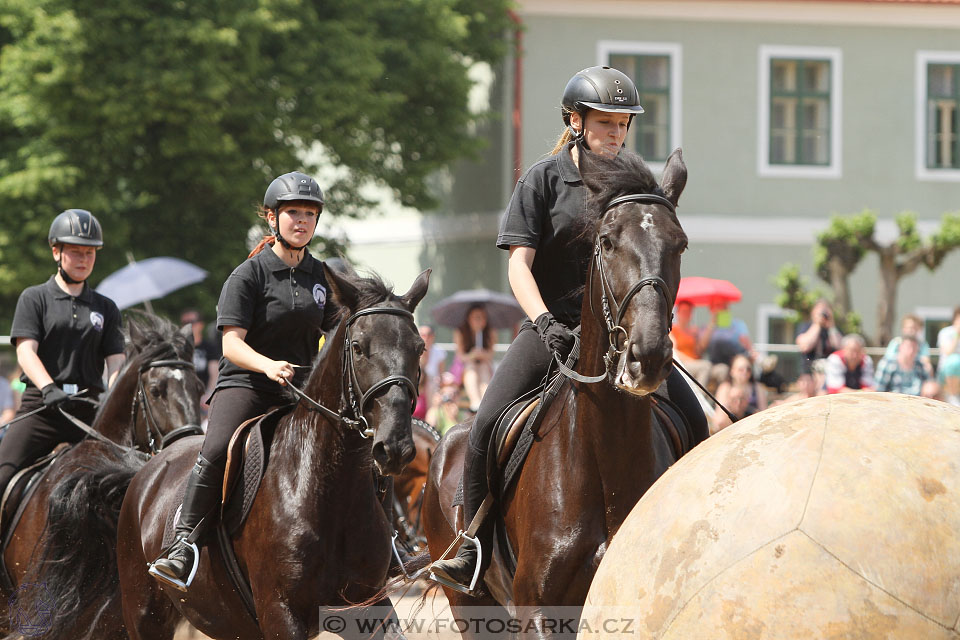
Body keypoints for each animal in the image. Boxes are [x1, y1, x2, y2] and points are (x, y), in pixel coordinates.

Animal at [114, 266, 430, 640]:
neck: (326, 487)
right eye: (358, 347)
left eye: (419, 348)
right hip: (143, 613)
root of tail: (149, 469)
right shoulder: (280, 612)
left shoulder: (366, 604)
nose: (394, 446)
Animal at [420, 149, 704, 636]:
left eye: (680, 244)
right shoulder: (537, 609)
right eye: (606, 242)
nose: (646, 356)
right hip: (470, 605)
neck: (604, 458)